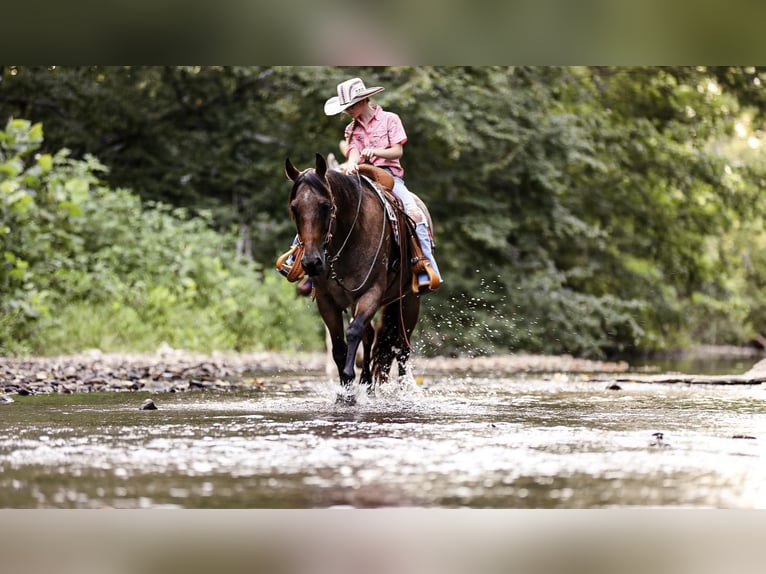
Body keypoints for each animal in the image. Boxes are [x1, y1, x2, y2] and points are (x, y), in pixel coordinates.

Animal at [284, 153, 427, 403]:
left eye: (325, 205)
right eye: (294, 207)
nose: (311, 262)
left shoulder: (371, 292)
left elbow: (352, 333)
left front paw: (350, 383)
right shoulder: (327, 301)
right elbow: (338, 344)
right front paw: (345, 388)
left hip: (409, 300)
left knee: (402, 347)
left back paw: (402, 391)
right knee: (370, 336)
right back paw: (368, 385)